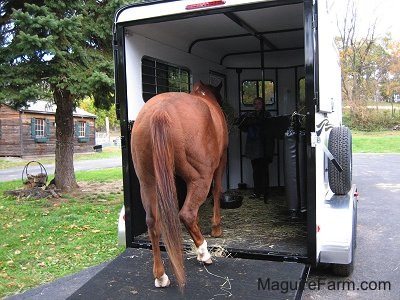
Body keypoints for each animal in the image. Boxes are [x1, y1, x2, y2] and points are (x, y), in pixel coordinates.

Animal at [130, 81, 227, 288]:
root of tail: (160, 111)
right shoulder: (221, 161)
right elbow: (217, 191)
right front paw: (216, 228)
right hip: (201, 178)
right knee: (187, 214)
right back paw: (204, 253)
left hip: (148, 182)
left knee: (153, 222)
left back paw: (161, 276)